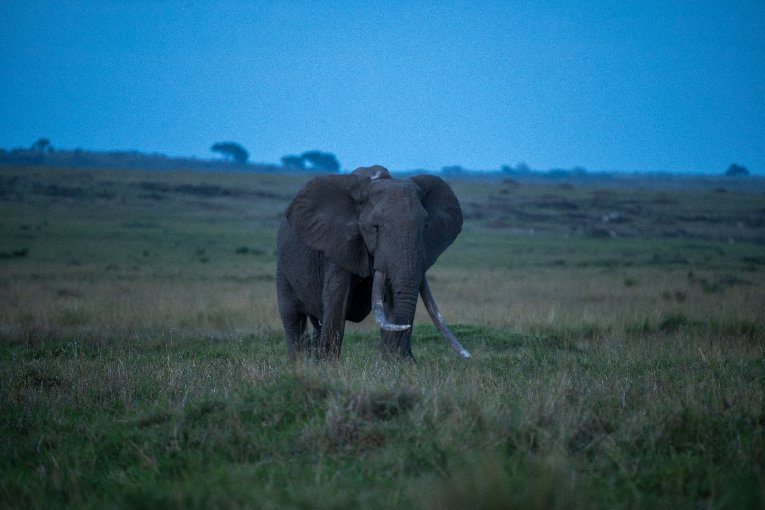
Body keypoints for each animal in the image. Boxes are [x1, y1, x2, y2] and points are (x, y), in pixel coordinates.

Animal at [276, 165, 471, 360]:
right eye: (375, 227)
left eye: (424, 226)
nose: (409, 359)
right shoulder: (337, 244)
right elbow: (337, 298)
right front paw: (328, 365)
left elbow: (391, 298)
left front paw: (393, 365)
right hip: (283, 265)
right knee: (293, 318)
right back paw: (299, 363)